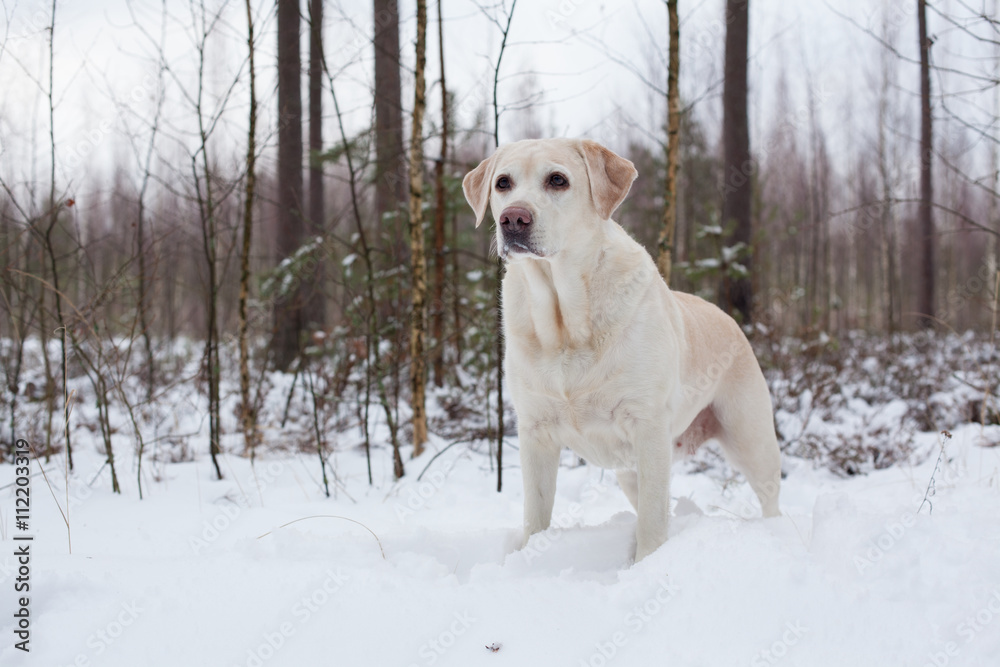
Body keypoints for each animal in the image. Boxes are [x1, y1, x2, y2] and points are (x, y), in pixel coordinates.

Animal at [460, 138, 780, 560]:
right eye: (502, 183)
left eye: (557, 180)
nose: (513, 219)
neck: (565, 322)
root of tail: (728, 318)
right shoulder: (534, 431)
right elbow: (537, 513)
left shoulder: (648, 425)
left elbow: (652, 521)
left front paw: (647, 564)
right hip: (631, 468)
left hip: (750, 437)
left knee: (769, 497)